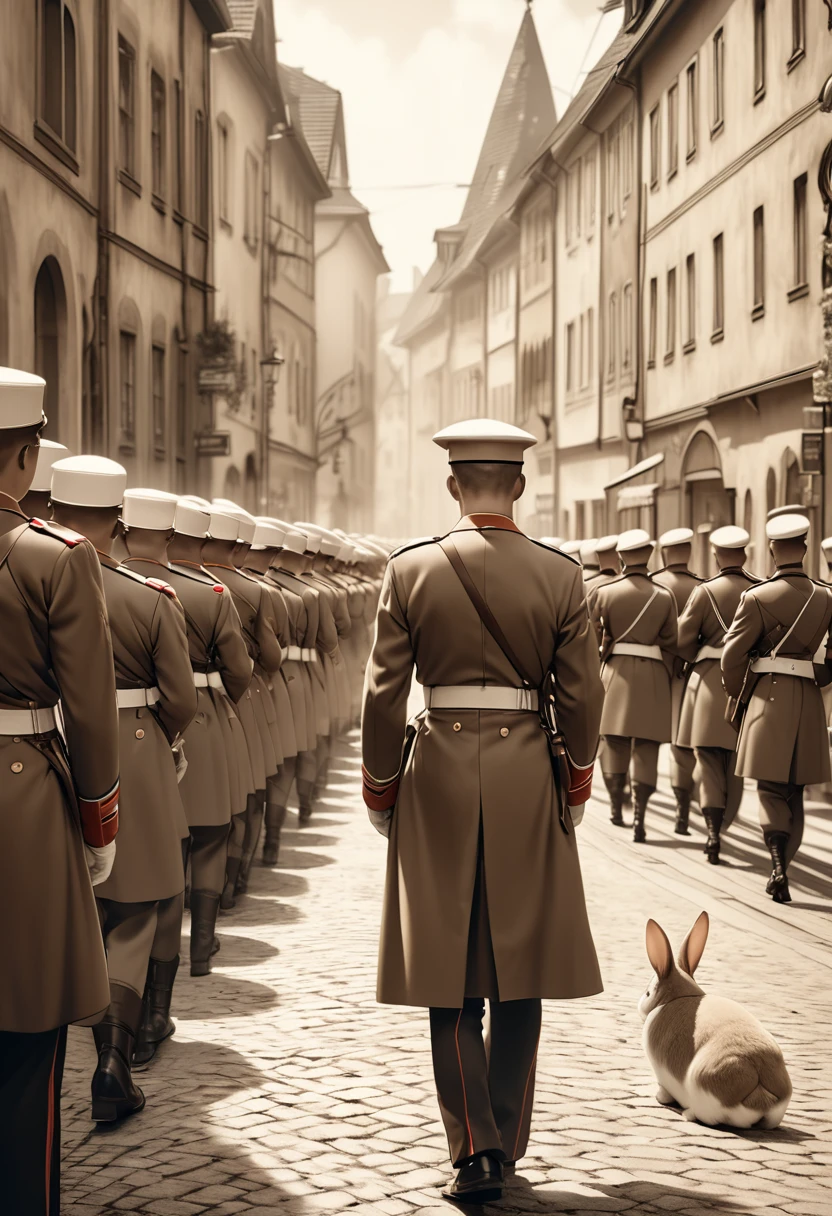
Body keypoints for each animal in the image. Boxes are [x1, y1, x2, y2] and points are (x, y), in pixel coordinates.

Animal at [637, 914, 793, 1128]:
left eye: (647, 993)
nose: (639, 1003)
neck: (680, 996)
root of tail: (760, 1098)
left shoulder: (661, 1075)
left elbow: (664, 1090)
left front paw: (660, 1098)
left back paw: (687, 1113)